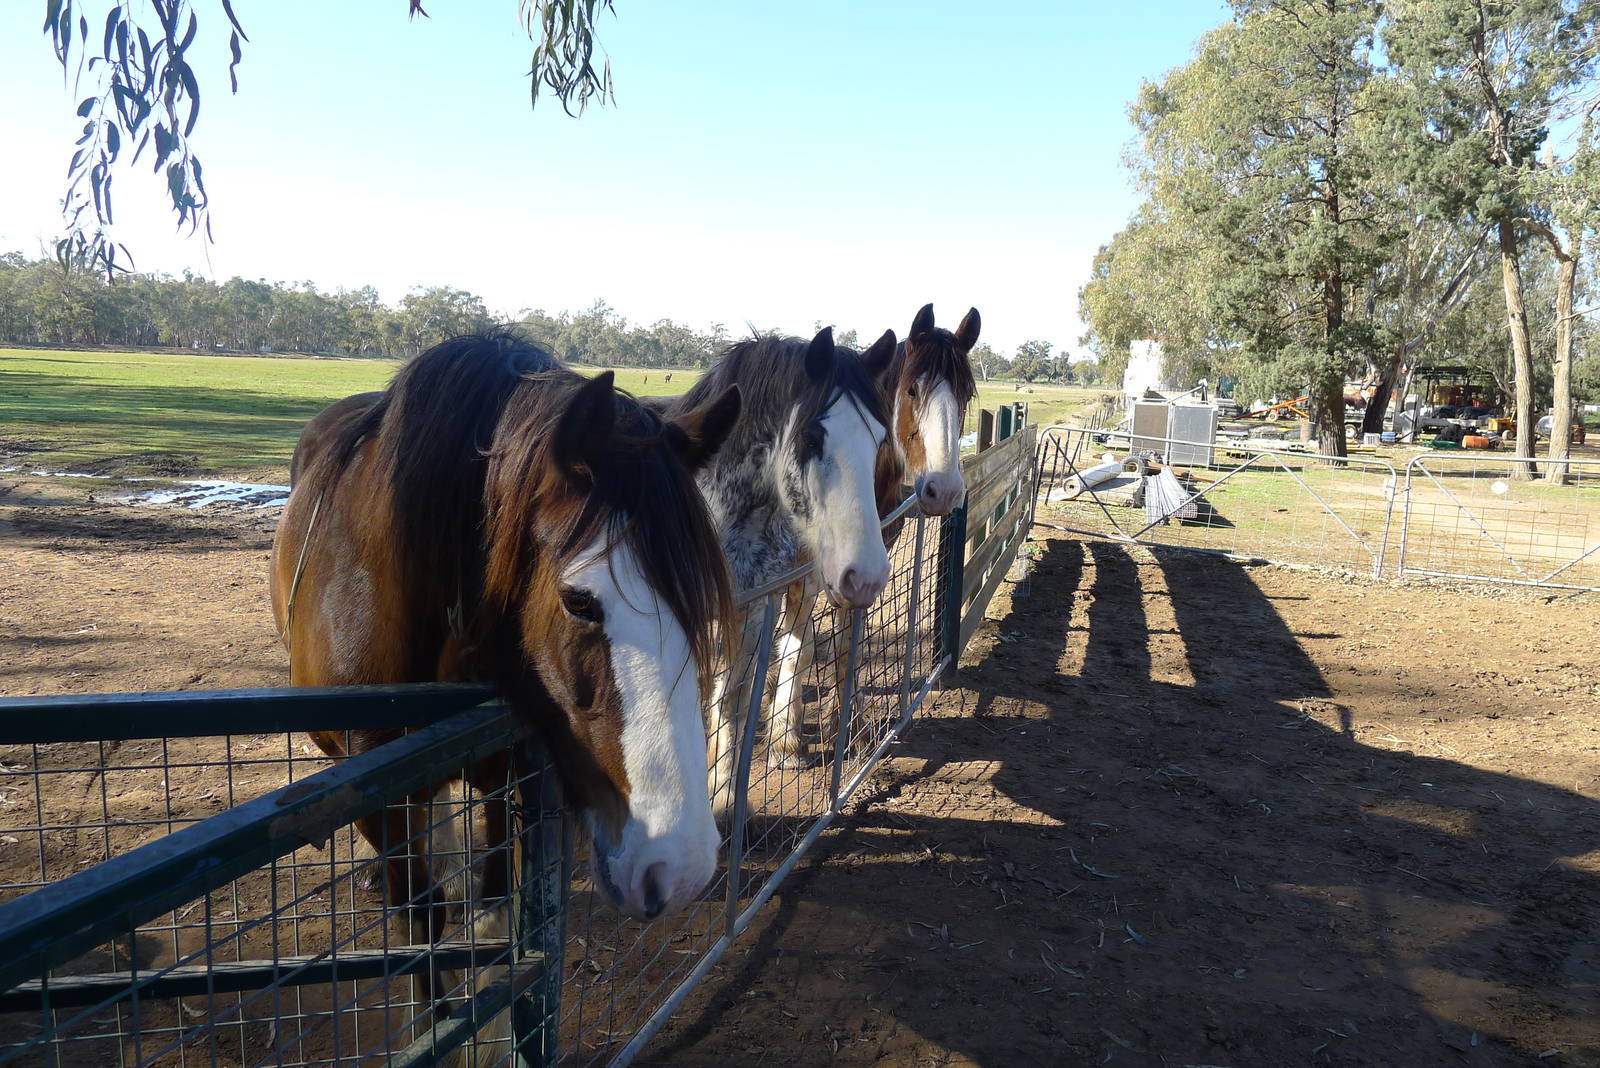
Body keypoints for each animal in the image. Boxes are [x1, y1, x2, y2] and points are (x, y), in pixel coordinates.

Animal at [270, 332, 743, 941]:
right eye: (578, 602)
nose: (680, 868)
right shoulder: (381, 798)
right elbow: (420, 921)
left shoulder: (503, 764)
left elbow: (495, 901)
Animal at [654, 327, 896, 813]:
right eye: (811, 438)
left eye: (879, 439)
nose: (865, 575)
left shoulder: (748, 611)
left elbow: (732, 698)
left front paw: (724, 793)